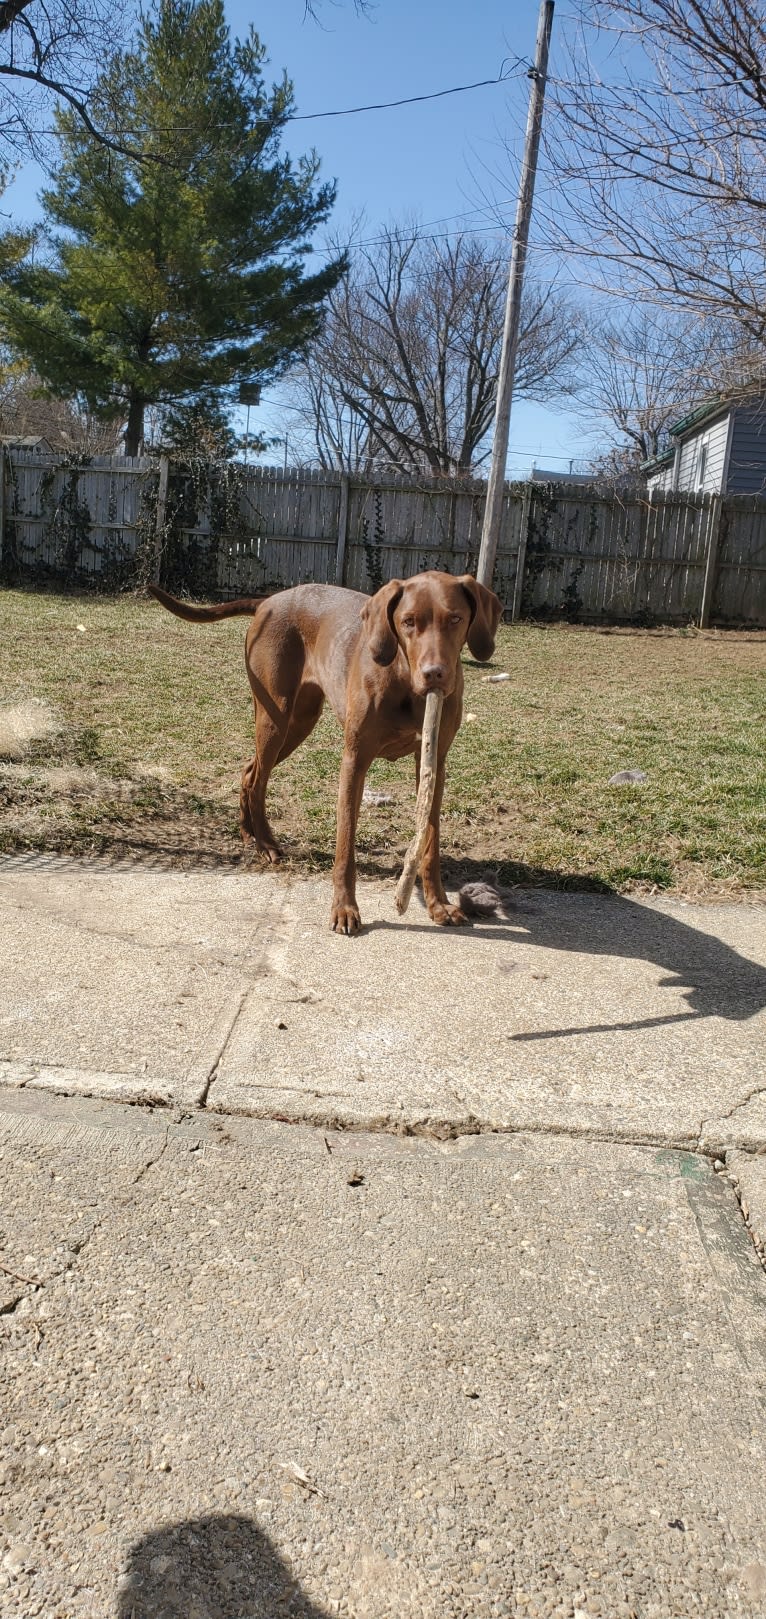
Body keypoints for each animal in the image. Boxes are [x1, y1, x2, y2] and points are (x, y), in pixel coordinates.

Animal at [148, 576, 502, 939]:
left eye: (456, 618)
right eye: (408, 622)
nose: (435, 674)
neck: (404, 682)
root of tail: (269, 601)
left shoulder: (433, 764)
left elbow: (429, 841)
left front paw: (439, 905)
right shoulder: (355, 760)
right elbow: (345, 843)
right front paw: (344, 908)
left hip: (299, 722)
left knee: (249, 772)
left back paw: (248, 834)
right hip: (275, 717)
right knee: (258, 779)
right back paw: (266, 844)